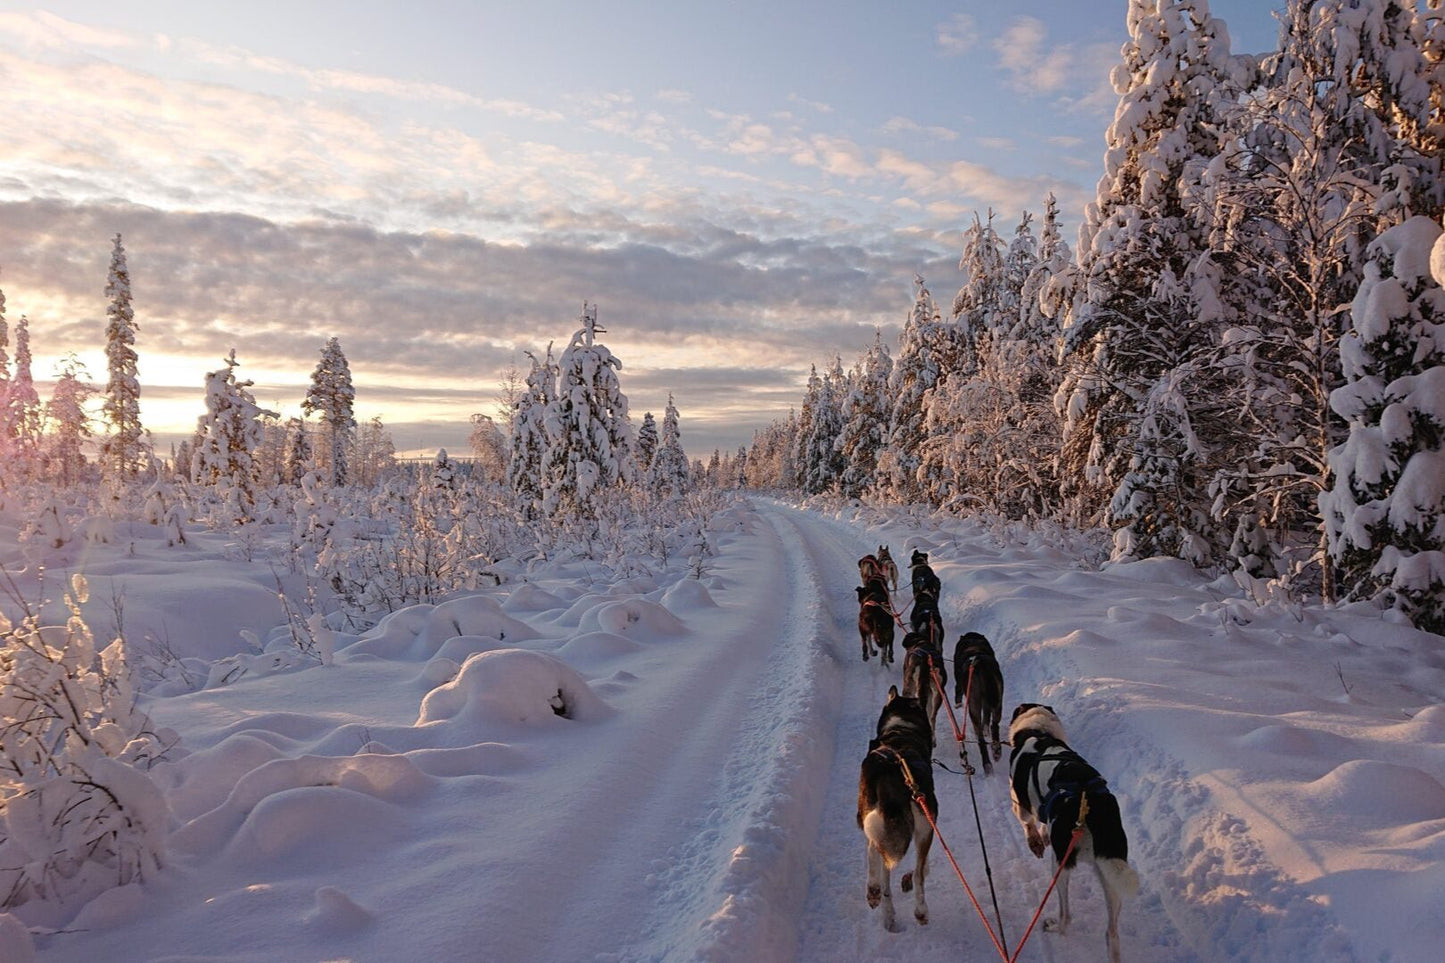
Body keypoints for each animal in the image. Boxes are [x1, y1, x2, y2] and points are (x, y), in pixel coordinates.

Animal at [1011, 702, 1132, 954]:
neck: (1038, 732)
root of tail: (1089, 802)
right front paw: (1042, 836)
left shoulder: (1021, 805)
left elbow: (1028, 824)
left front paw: (1036, 841)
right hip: (1110, 874)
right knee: (1112, 934)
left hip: (1059, 865)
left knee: (1066, 917)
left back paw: (1053, 926)